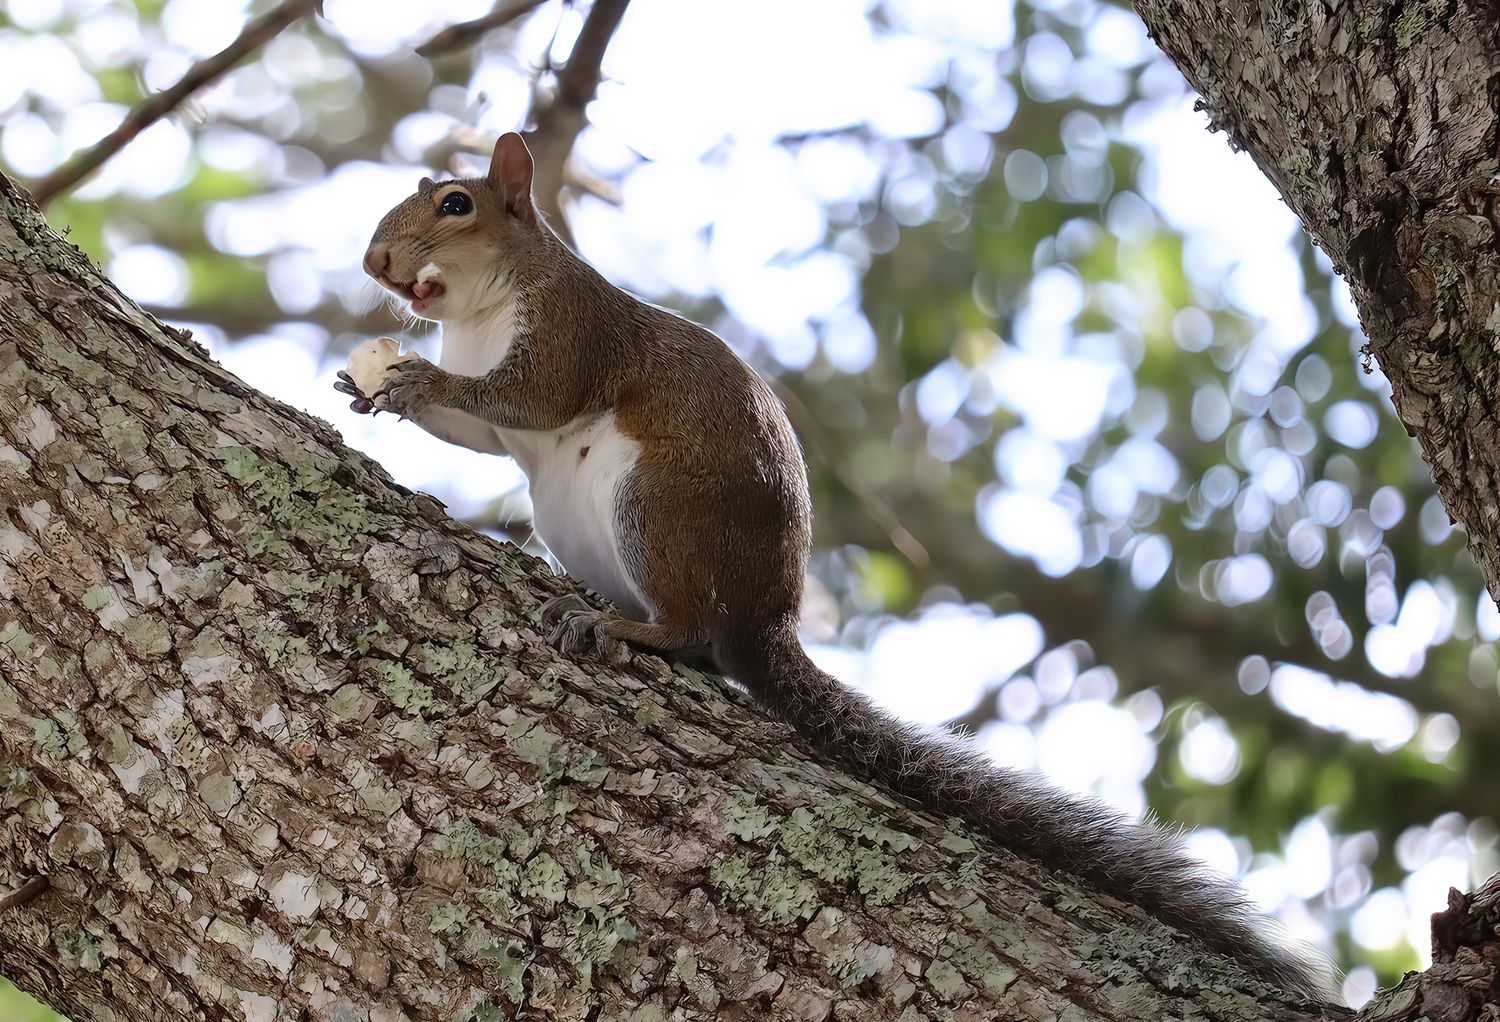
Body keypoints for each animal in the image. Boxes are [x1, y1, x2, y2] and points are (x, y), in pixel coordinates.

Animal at [336, 132, 1331, 1000]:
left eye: (455, 204)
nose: (374, 262)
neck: (478, 311)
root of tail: (765, 614)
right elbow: (477, 432)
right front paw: (370, 386)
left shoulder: (574, 335)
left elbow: (526, 398)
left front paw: (421, 379)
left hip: (654, 509)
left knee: (693, 634)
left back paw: (622, 623)